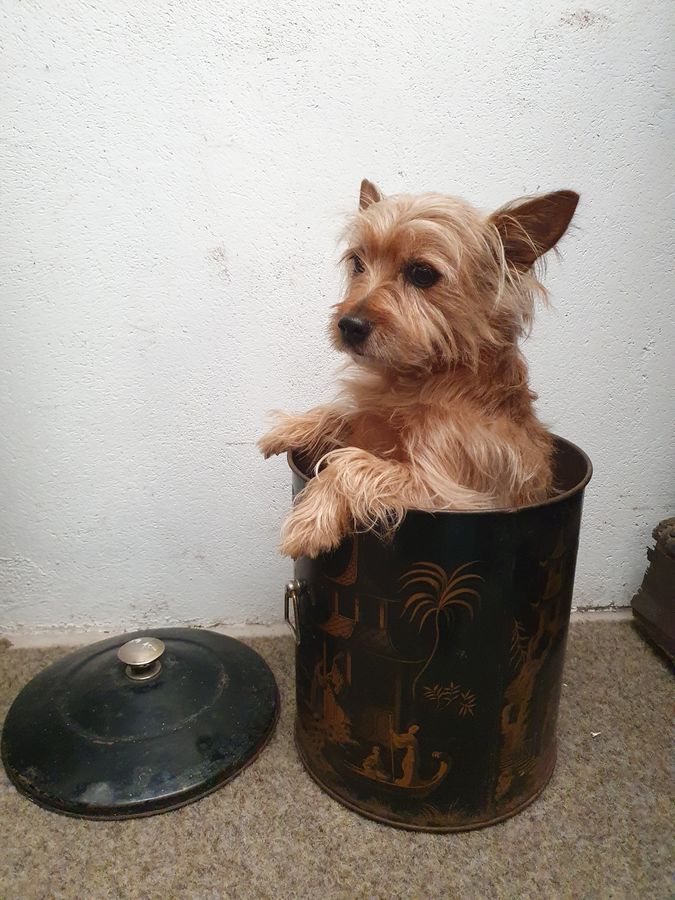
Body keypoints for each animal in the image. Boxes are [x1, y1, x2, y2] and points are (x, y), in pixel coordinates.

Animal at [262, 178, 580, 556]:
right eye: (358, 263)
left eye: (422, 274)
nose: (349, 325)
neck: (424, 378)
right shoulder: (372, 422)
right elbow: (346, 414)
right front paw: (291, 427)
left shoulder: (448, 492)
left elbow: (351, 463)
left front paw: (310, 521)